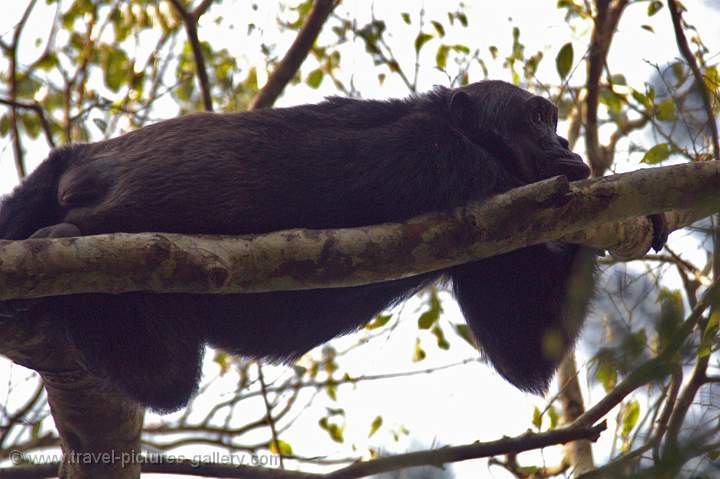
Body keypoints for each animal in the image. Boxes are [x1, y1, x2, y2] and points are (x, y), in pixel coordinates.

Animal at [0, 80, 664, 410]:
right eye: (538, 118)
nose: (562, 141)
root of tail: (77, 154)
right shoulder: (441, 156)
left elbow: (523, 348)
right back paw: (64, 238)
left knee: (166, 376)